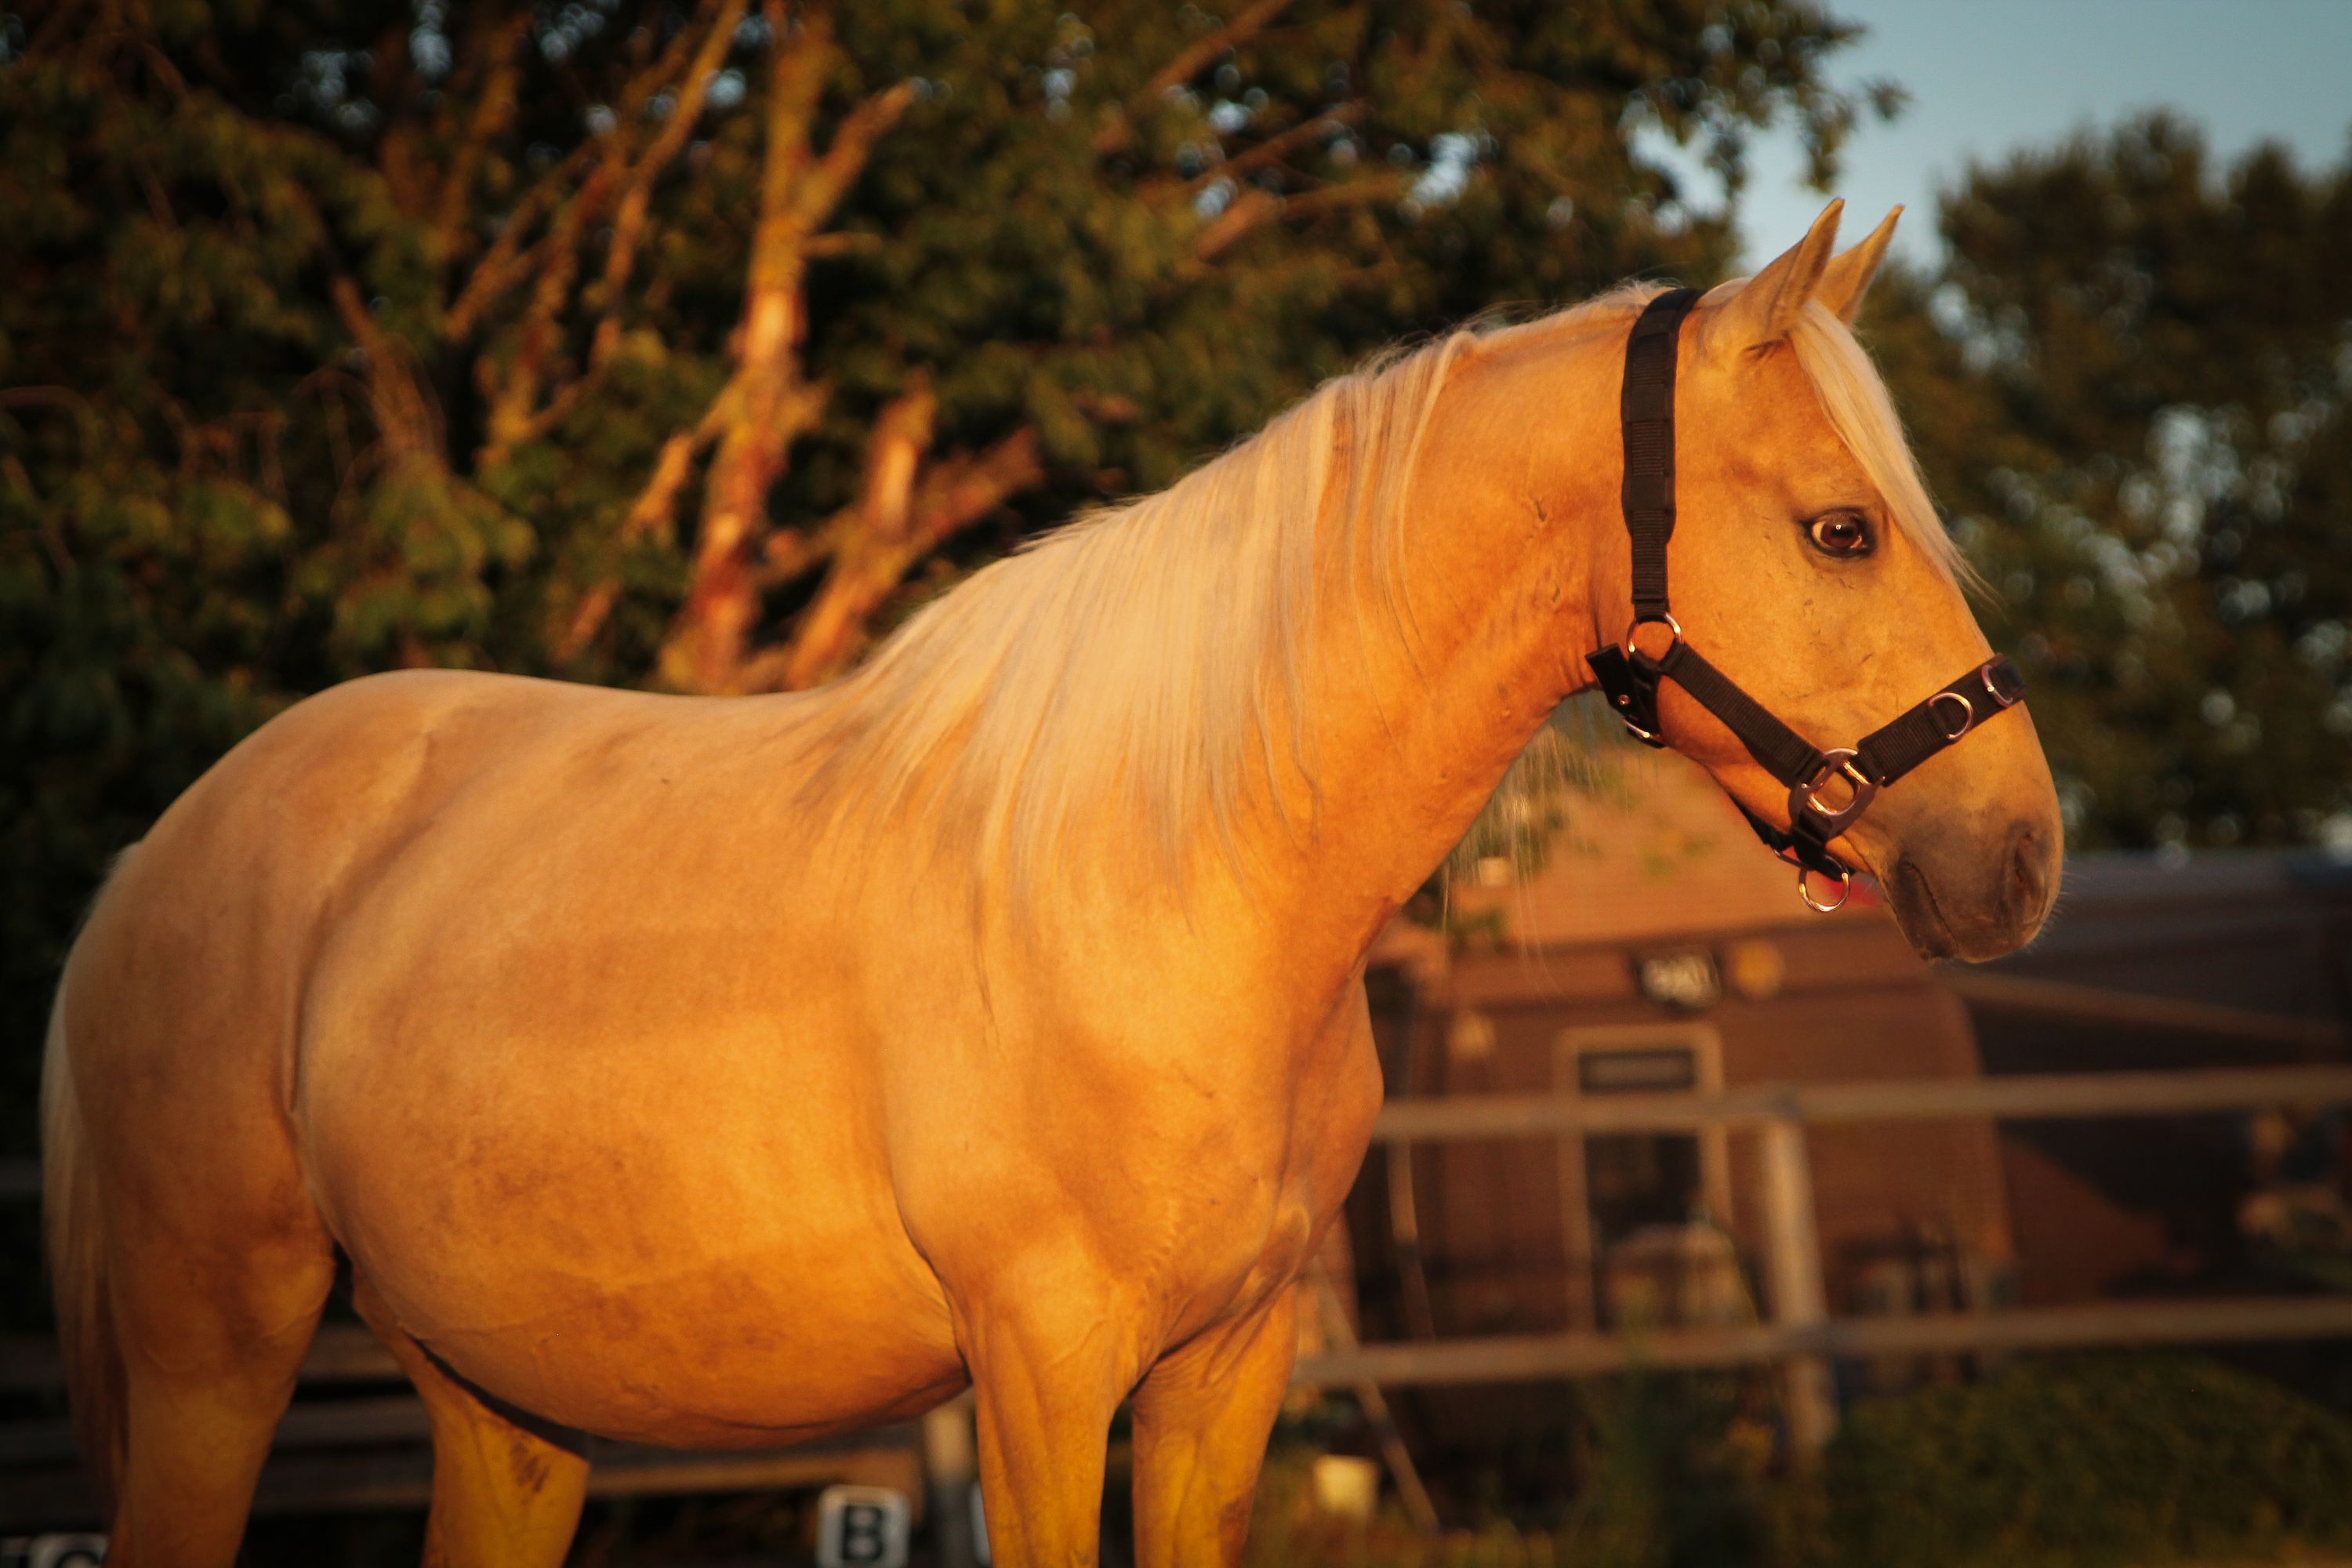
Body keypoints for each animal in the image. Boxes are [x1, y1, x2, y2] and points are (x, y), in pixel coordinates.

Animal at [42, 201, 2060, 1566]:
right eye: (1839, 529)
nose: (2020, 856)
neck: (1179, 885)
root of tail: (162, 848)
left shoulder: (1222, 1372)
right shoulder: (1036, 1370)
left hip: (503, 1406)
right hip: (217, 1347)